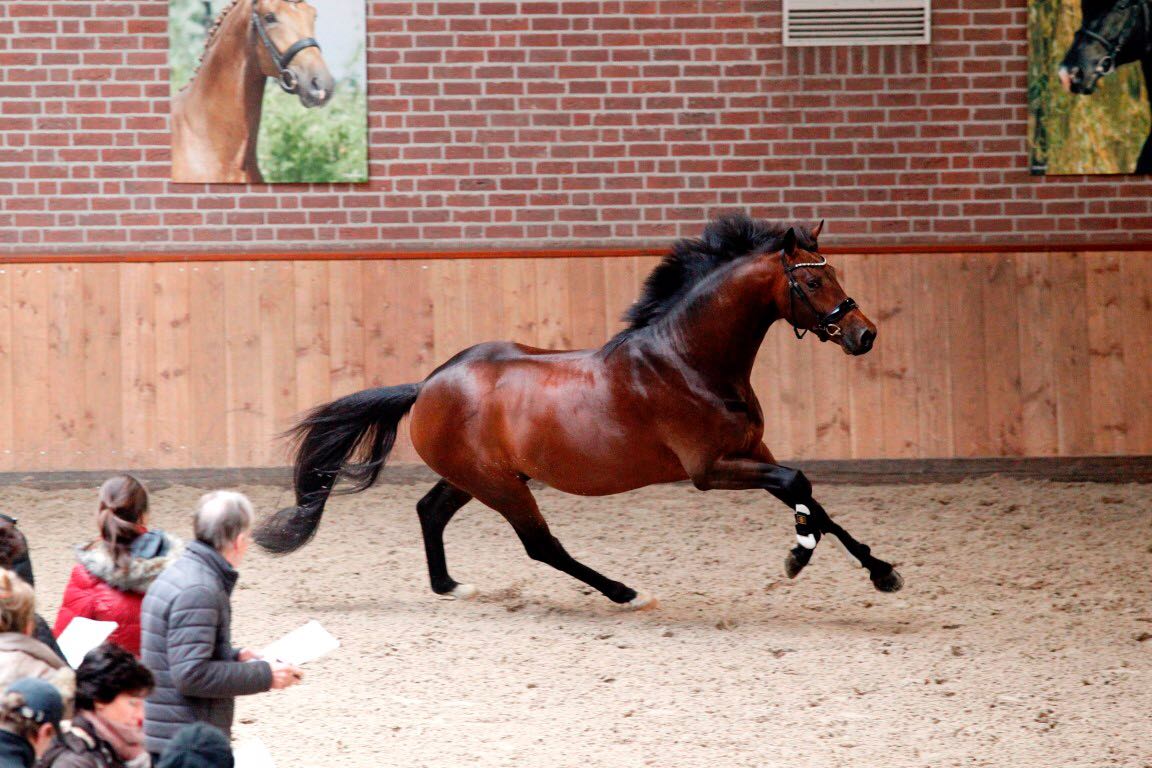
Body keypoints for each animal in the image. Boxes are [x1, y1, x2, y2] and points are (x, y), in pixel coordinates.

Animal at [256, 215, 903, 607]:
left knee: (430, 510)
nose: (865, 334)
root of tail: (429, 383)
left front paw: (880, 570)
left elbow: (809, 493)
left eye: (833, 271)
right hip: (501, 485)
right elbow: (798, 485)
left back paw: (449, 586)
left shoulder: (752, 451)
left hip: (476, 477)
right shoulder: (709, 469)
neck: (688, 360)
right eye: (812, 282)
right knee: (541, 545)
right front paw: (799, 553)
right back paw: (624, 593)